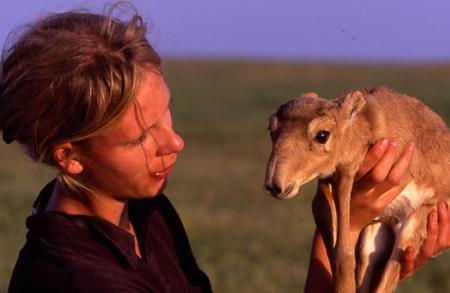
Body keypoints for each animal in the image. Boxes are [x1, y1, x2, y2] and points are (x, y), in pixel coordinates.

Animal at [264, 86, 450, 292]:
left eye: (322, 135)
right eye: (271, 130)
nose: (274, 185)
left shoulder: (347, 172)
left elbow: (343, 249)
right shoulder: (327, 187)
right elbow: (336, 243)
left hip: (413, 224)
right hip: (374, 237)